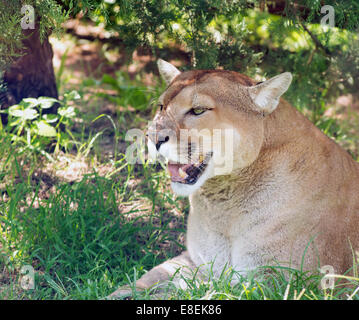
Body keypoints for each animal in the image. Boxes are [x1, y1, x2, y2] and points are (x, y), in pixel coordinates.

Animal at [109, 59, 359, 298]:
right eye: (161, 106)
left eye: (198, 110)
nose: (153, 137)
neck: (222, 204)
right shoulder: (195, 259)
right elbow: (150, 278)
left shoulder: (279, 281)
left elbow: (201, 292)